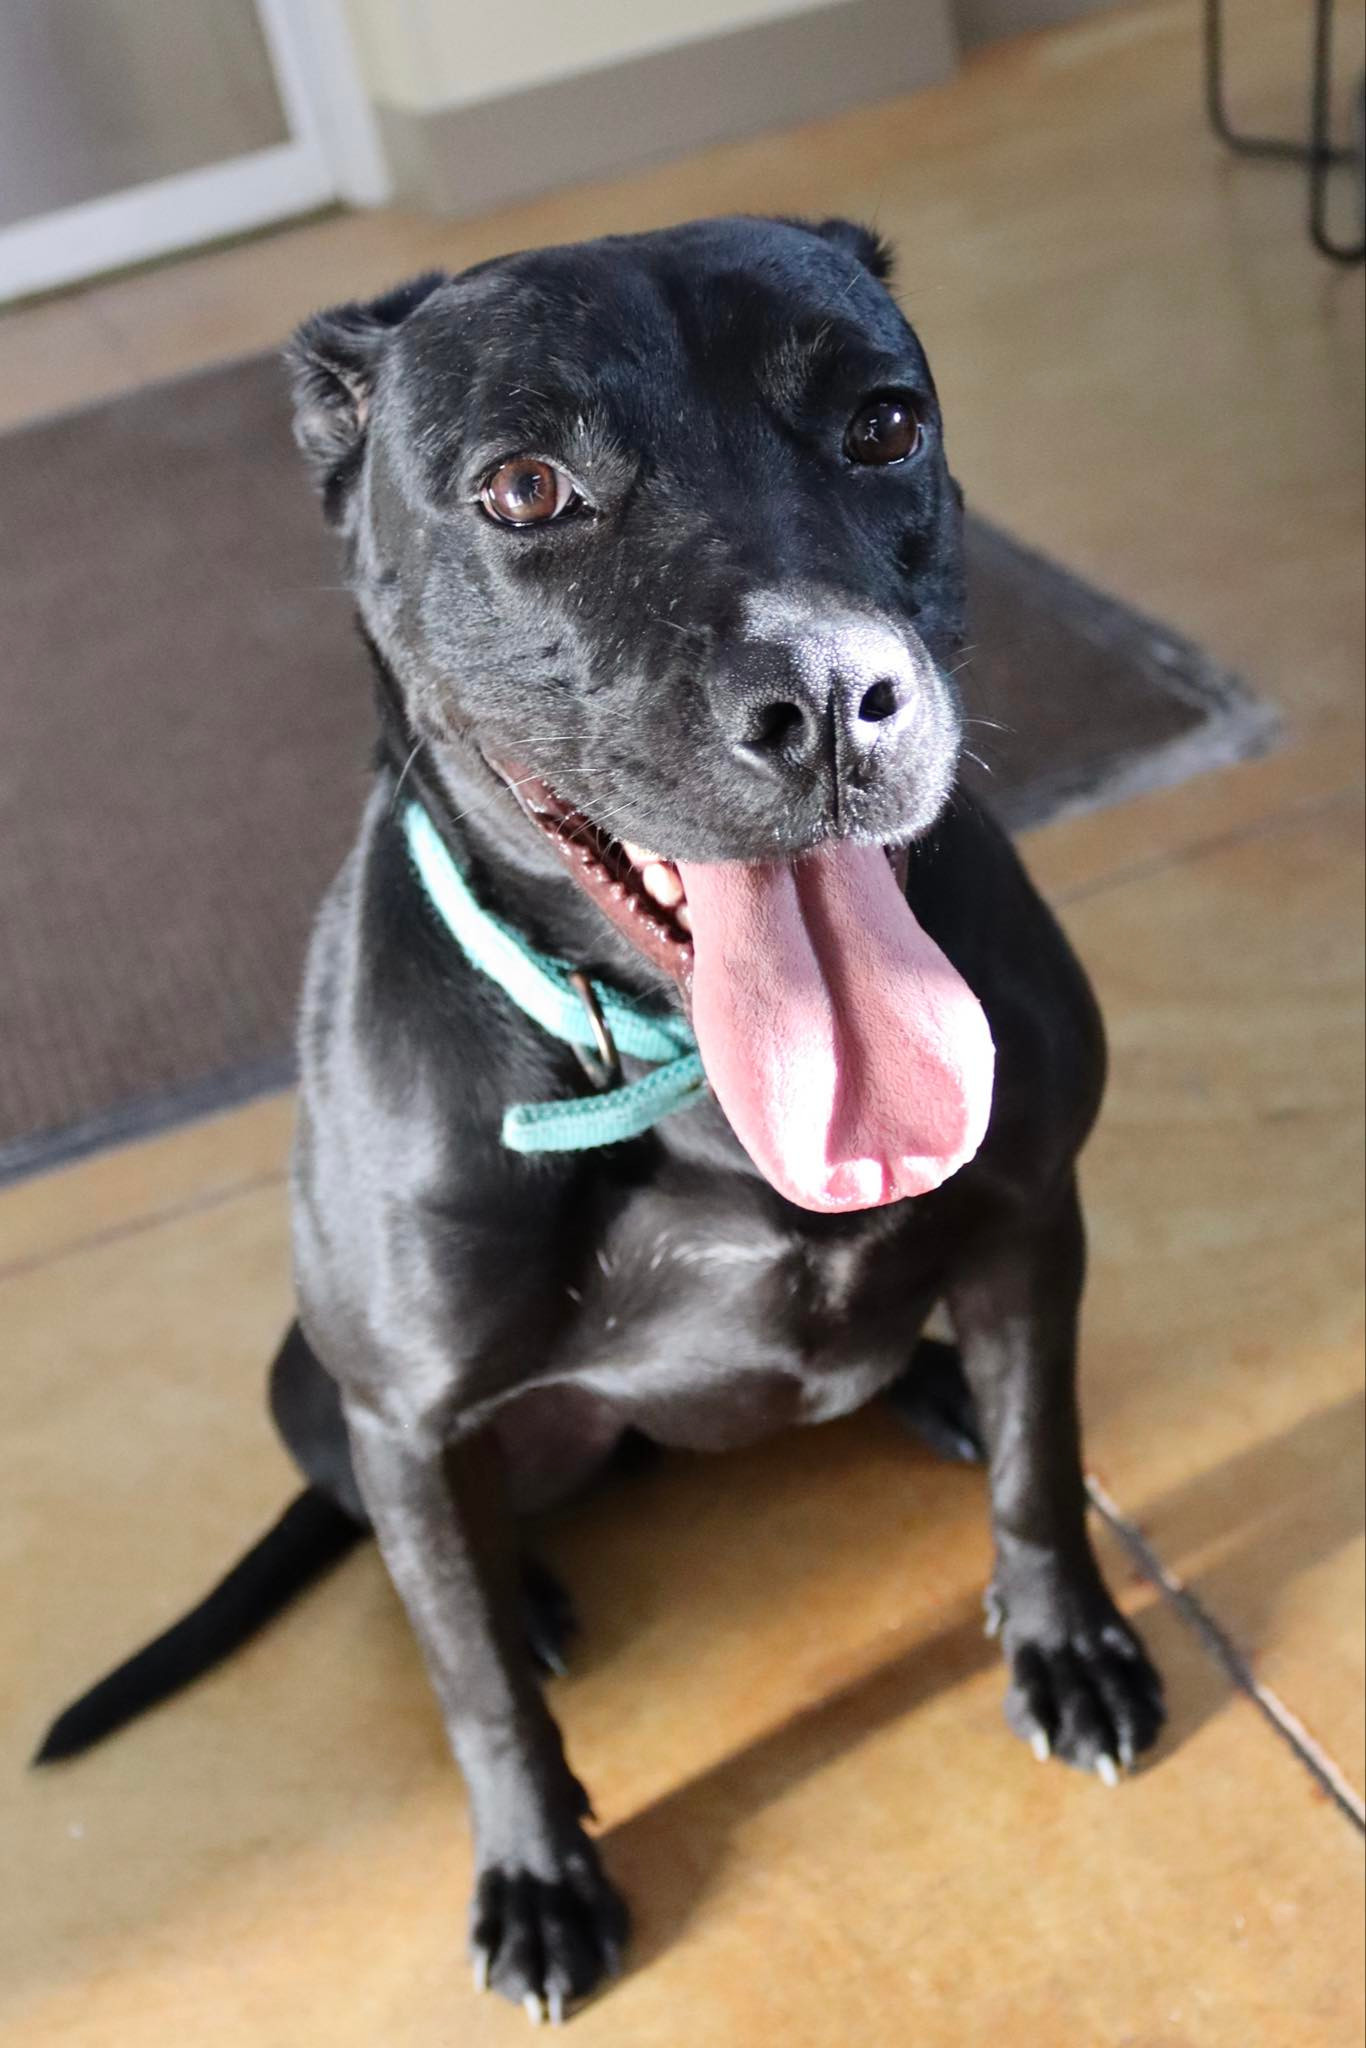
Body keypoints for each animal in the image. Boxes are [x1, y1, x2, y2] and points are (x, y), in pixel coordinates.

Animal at [37, 220, 1163, 2015]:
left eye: (882, 423)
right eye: (522, 488)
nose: (832, 695)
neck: (683, 1065)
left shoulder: (1029, 1218)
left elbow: (1041, 1468)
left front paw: (1068, 1638)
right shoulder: (406, 1414)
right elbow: (478, 1686)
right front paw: (539, 1870)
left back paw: (928, 1385)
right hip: (317, 1395)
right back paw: (536, 1582)